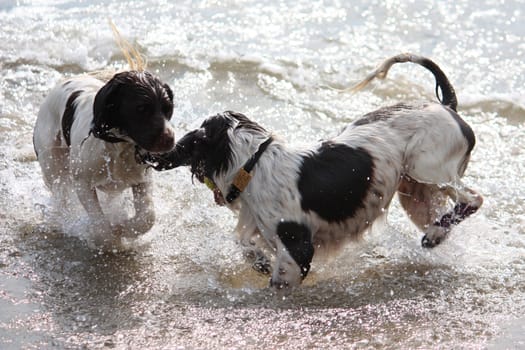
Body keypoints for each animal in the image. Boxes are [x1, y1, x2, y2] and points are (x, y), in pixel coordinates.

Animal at [33, 70, 175, 249]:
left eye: (168, 109)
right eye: (141, 108)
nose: (170, 140)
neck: (119, 145)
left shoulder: (142, 180)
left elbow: (147, 217)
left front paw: (122, 227)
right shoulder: (82, 183)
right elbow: (100, 225)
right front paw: (111, 238)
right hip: (52, 164)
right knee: (61, 197)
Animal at [144, 54, 484, 290]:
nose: (151, 153)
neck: (251, 163)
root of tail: (448, 107)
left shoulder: (297, 247)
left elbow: (281, 276)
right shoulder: (257, 224)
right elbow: (244, 243)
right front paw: (258, 262)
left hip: (425, 167)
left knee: (474, 198)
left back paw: (436, 233)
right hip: (414, 193)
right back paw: (436, 234)